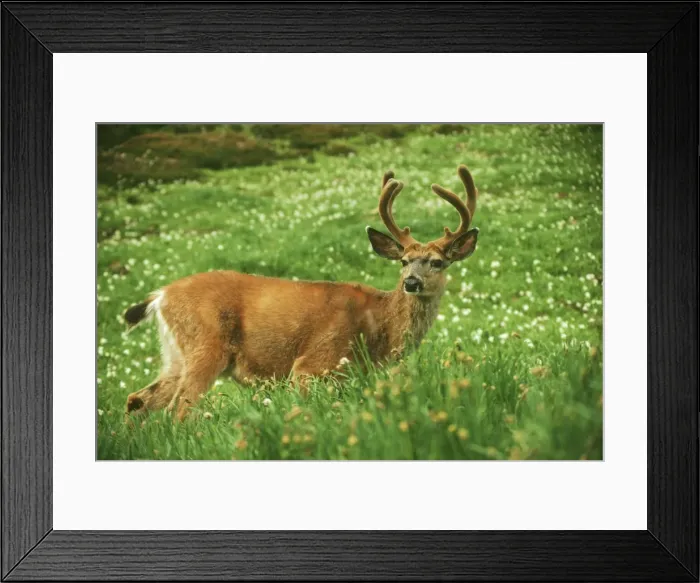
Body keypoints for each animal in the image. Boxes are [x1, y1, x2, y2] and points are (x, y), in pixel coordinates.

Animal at [123, 164, 479, 421]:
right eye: (404, 261)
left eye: (437, 262)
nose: (412, 282)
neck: (379, 327)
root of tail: (161, 295)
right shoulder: (315, 363)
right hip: (205, 345)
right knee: (179, 409)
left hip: (175, 355)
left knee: (138, 399)